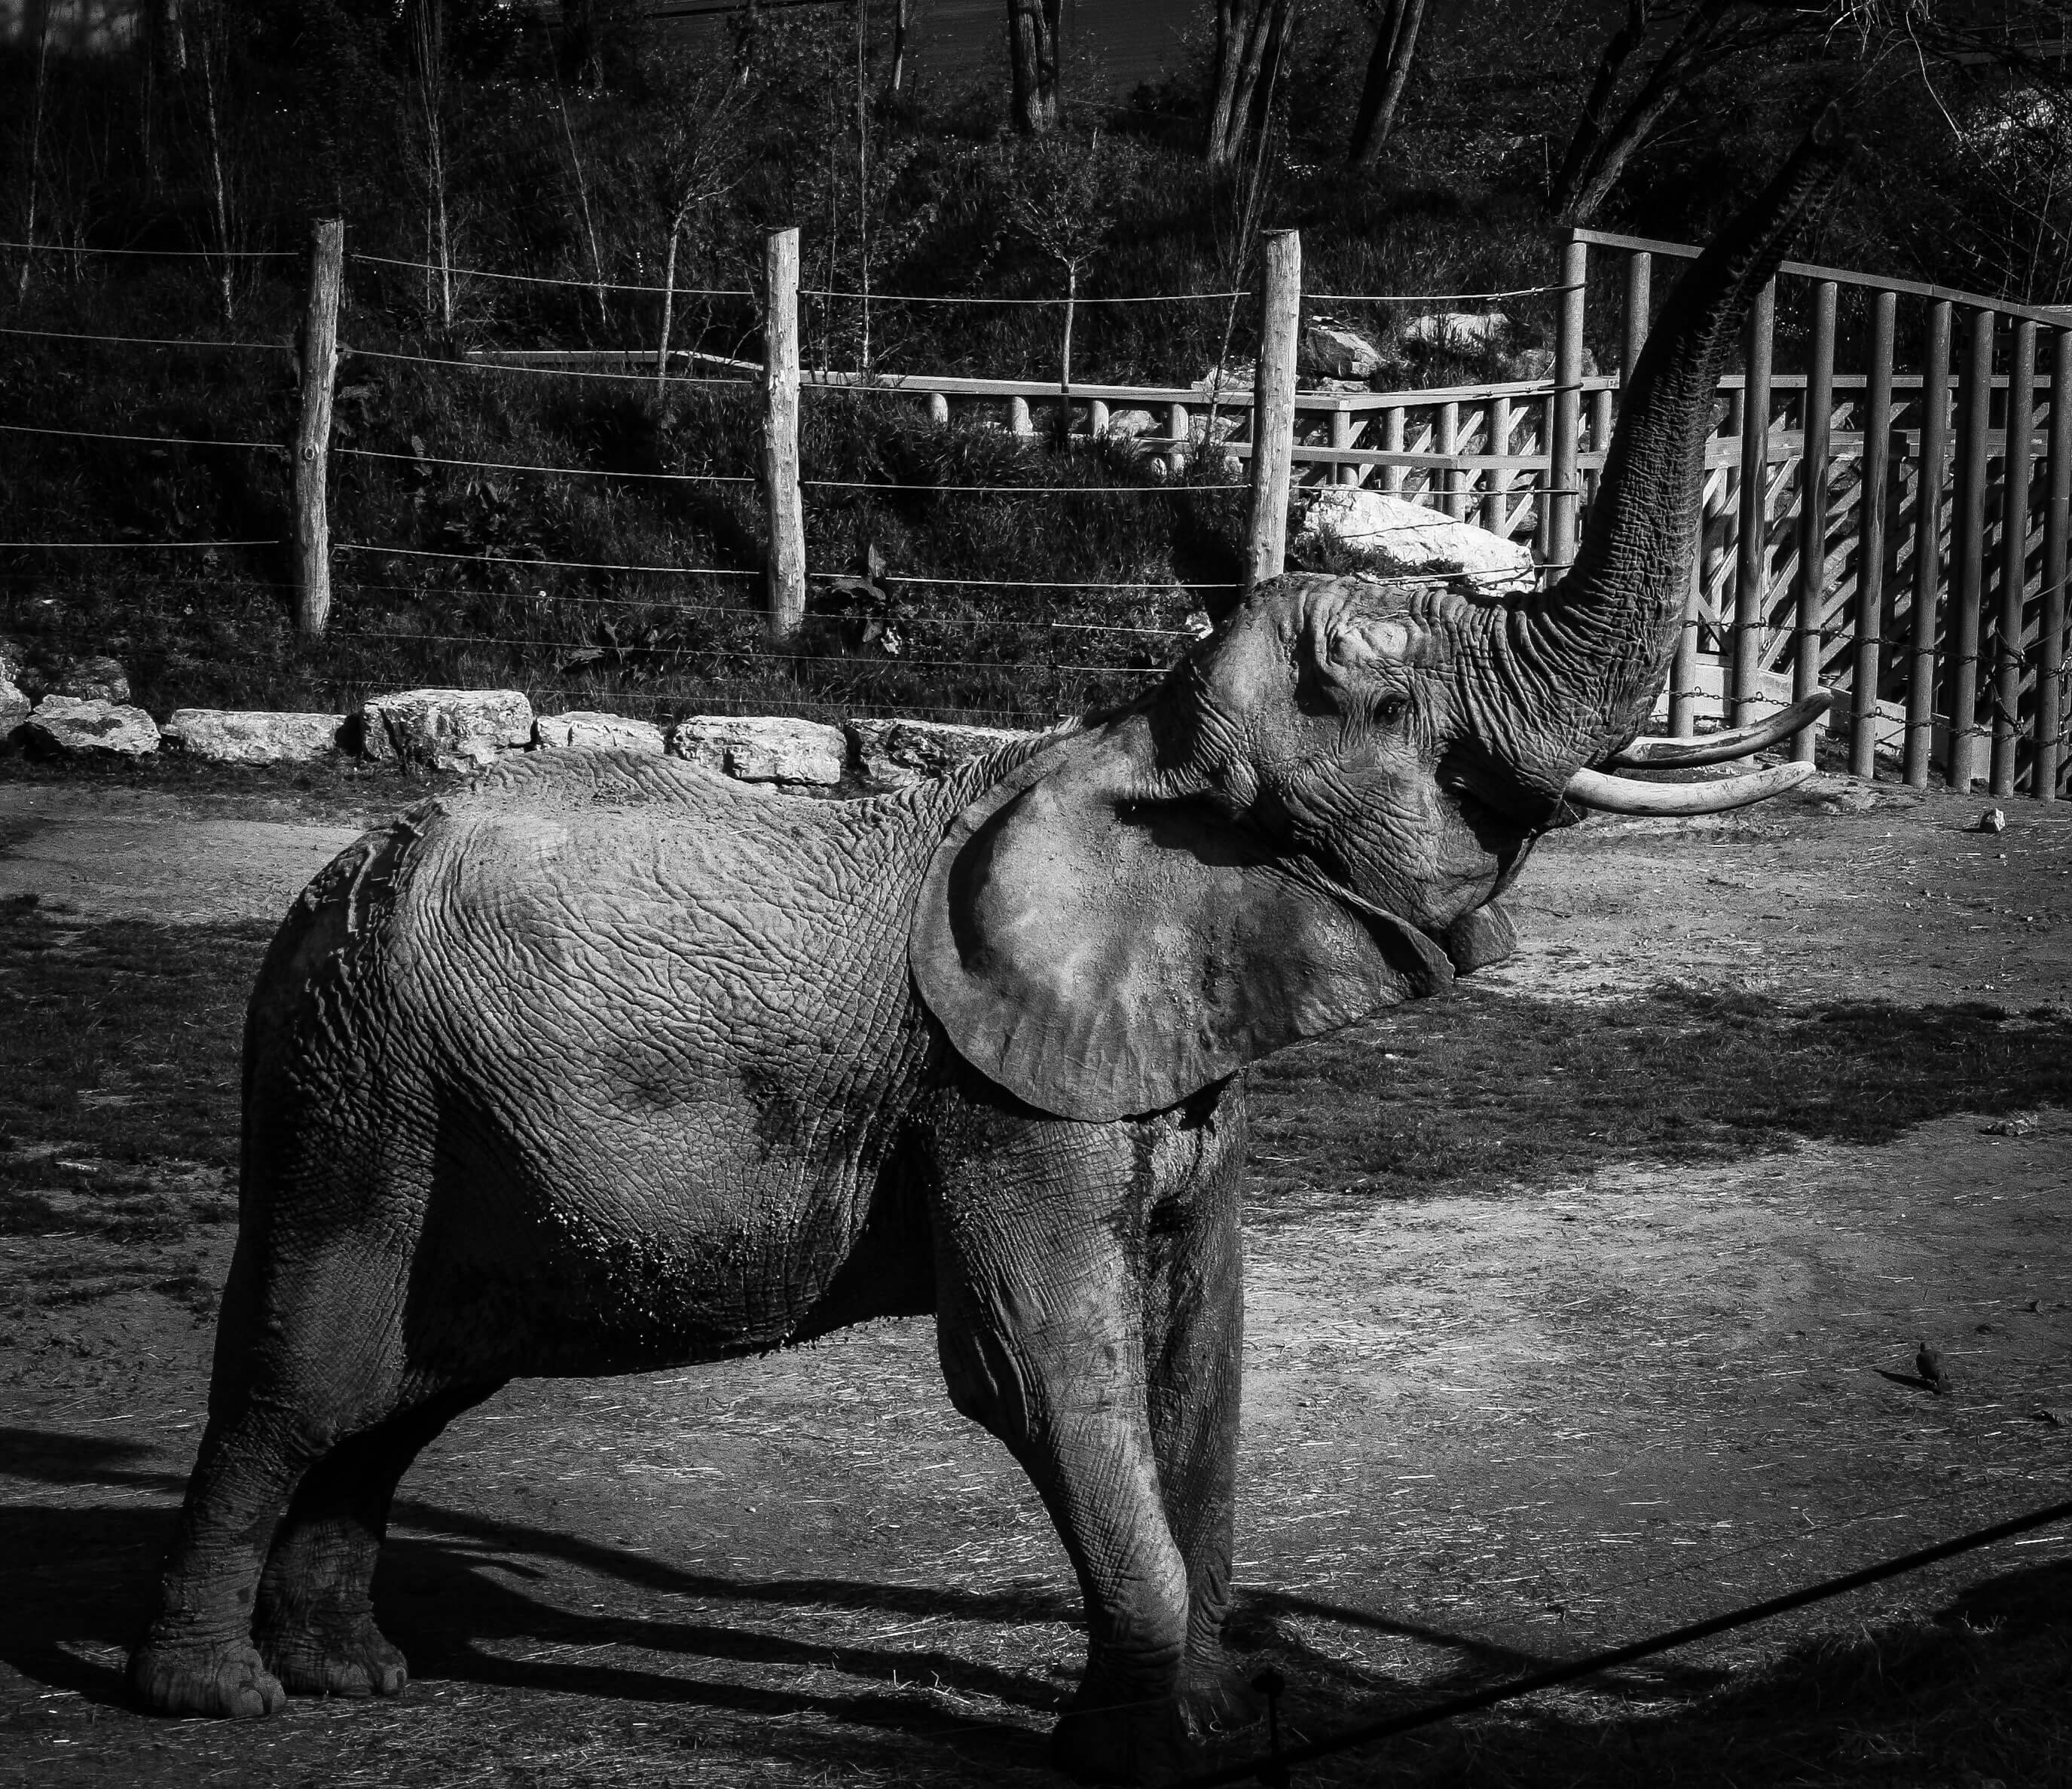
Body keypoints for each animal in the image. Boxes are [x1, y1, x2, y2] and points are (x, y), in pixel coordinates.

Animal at [125, 119, 1848, 1782]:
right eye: (1381, 691)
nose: (1809, 134)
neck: (1129, 736)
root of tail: (332, 879)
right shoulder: (996, 1099)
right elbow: (1039, 1359)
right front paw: (1167, 1747)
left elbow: (1198, 1343)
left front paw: (1221, 1714)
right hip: (361, 1088)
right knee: (300, 1376)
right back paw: (220, 1696)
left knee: (405, 1390)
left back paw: (354, 1672)